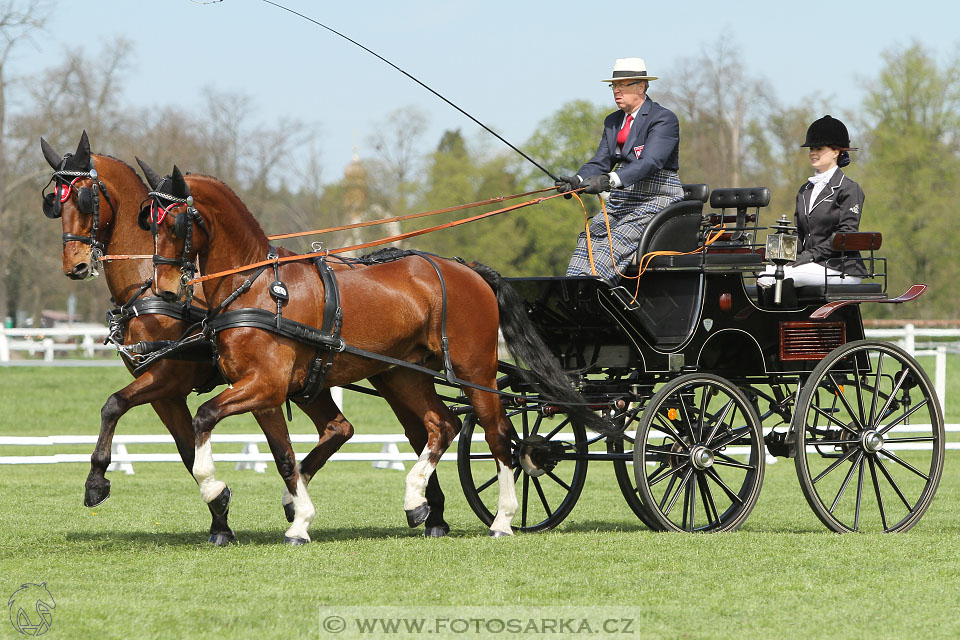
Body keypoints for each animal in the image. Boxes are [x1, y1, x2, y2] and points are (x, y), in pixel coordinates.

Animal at [142, 162, 608, 544]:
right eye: (149, 223)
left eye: (176, 223)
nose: (164, 290)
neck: (256, 286)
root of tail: (468, 269)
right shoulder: (263, 390)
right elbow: (284, 456)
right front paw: (298, 518)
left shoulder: (266, 385)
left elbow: (206, 419)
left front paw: (215, 488)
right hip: (404, 373)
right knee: (443, 425)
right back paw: (416, 499)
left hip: (476, 373)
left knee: (497, 436)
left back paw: (503, 518)